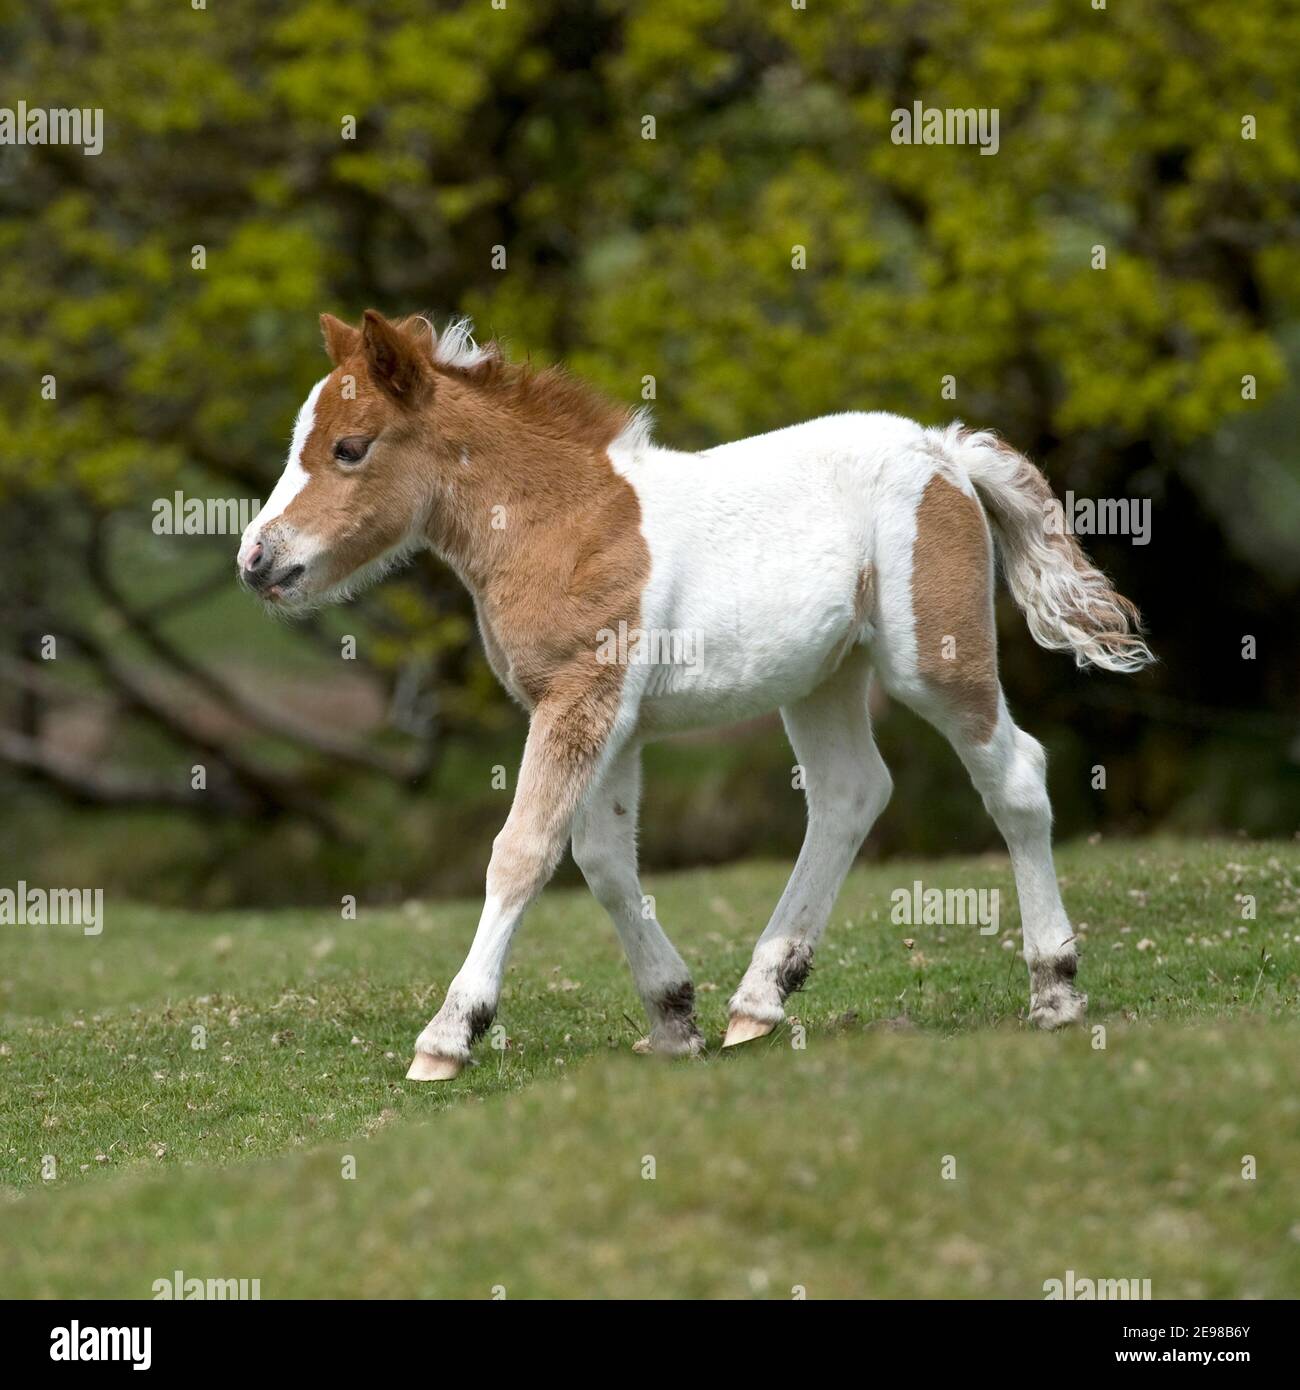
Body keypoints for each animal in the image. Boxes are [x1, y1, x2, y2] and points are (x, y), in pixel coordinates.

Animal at [233, 309, 1151, 1078]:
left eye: (350, 448)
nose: (255, 560)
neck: (561, 523)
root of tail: (947, 452)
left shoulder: (582, 700)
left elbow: (523, 852)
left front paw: (449, 1037)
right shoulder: (611, 721)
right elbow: (605, 862)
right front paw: (675, 1017)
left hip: (935, 661)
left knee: (1015, 777)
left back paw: (1055, 989)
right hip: (824, 677)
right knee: (850, 793)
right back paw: (760, 998)